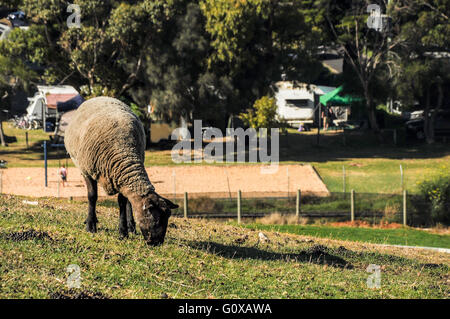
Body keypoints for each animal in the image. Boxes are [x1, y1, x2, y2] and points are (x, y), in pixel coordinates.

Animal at [65, 96, 178, 246]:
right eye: (157, 219)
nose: (157, 242)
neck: (124, 152)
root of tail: (101, 97)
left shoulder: (121, 177)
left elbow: (122, 202)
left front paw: (123, 231)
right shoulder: (88, 171)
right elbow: (92, 197)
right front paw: (90, 226)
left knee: (129, 202)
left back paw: (131, 226)